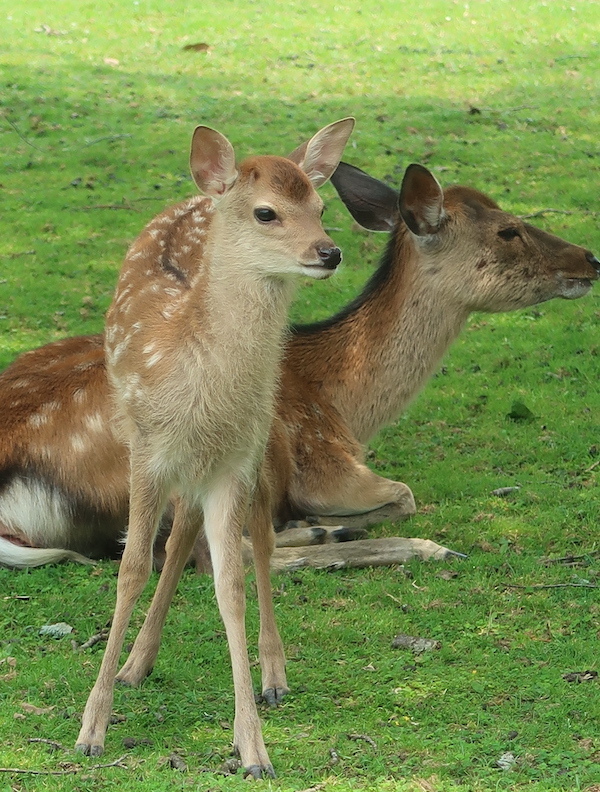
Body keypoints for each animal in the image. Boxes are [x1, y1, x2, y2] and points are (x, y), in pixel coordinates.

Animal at [0, 164, 596, 572]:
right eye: (508, 230)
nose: (589, 258)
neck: (347, 407)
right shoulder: (329, 464)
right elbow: (404, 494)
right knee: (206, 553)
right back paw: (401, 545)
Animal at [75, 119, 356, 780]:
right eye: (266, 212)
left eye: (322, 206)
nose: (328, 252)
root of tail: (200, 194)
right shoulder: (146, 450)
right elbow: (132, 567)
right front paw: (91, 727)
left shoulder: (232, 461)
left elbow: (231, 582)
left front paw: (252, 747)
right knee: (180, 533)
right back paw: (135, 666)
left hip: (260, 436)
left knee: (259, 536)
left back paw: (274, 675)